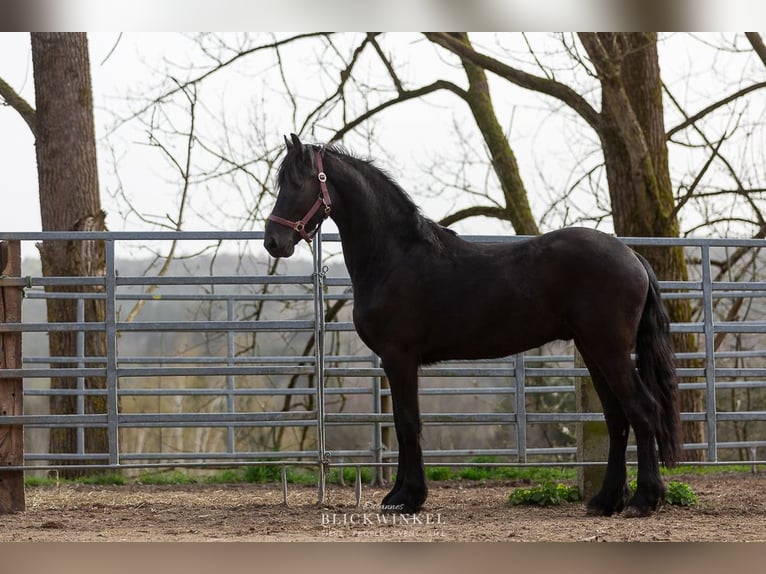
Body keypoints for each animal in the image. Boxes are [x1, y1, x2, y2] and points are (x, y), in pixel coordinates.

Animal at [264, 133, 682, 517]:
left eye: (297, 183)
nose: (273, 241)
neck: (395, 257)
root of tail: (632, 256)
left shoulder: (400, 358)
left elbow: (408, 424)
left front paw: (408, 498)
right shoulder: (393, 361)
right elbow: (401, 424)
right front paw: (397, 495)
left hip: (609, 350)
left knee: (643, 410)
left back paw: (644, 500)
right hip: (594, 350)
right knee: (617, 419)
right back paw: (606, 500)